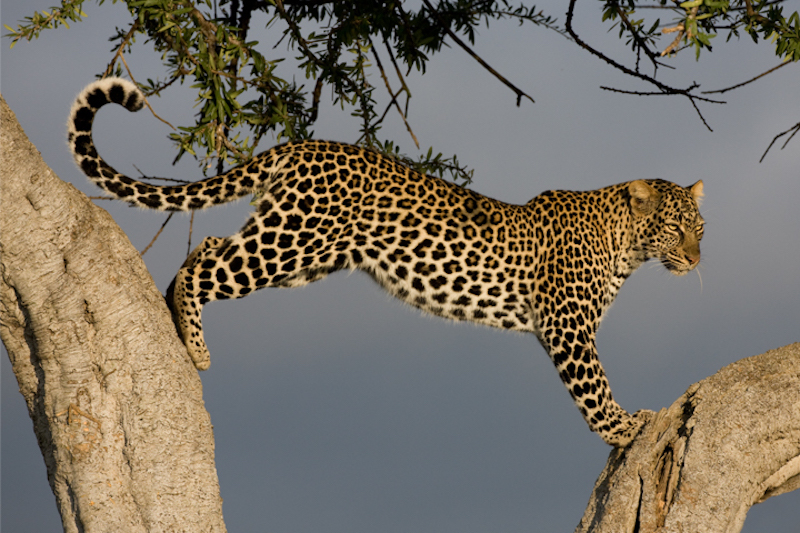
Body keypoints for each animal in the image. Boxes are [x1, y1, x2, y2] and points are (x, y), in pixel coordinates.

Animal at [70, 78, 708, 444]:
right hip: (288, 242)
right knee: (205, 263)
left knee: (206, 249)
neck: (625, 244)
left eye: (701, 229)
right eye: (676, 229)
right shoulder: (567, 325)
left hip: (302, 254)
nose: (697, 261)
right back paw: (196, 344)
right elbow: (594, 388)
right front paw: (623, 430)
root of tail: (300, 145)